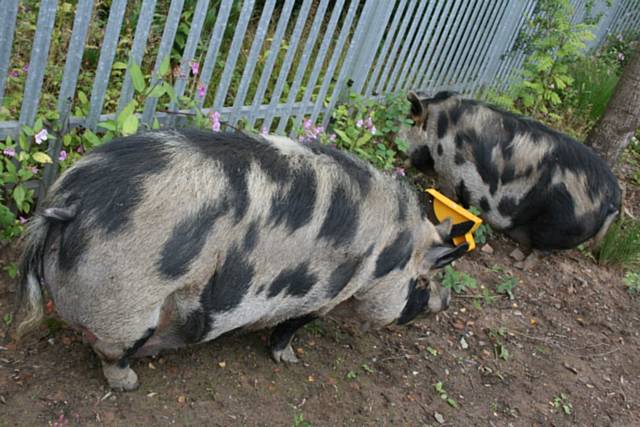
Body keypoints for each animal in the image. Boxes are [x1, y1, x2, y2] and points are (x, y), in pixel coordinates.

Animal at [13, 130, 464, 392]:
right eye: (425, 281)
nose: (446, 301)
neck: (388, 253)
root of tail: (70, 202)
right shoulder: (322, 296)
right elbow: (291, 328)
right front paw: (289, 360)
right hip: (127, 302)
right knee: (111, 353)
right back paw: (131, 383)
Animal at [404, 90, 620, 251]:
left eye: (410, 122)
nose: (394, 141)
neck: (437, 129)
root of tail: (613, 202)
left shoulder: (449, 172)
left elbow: (448, 198)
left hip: (560, 223)